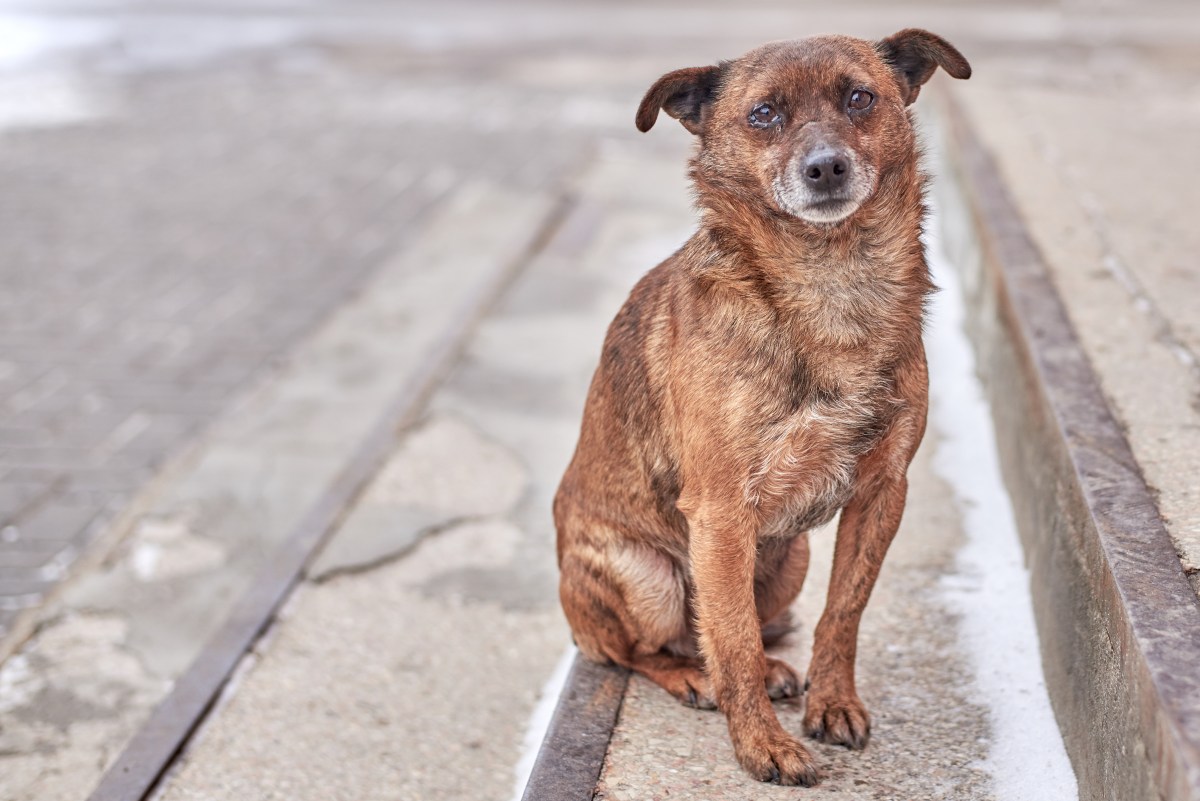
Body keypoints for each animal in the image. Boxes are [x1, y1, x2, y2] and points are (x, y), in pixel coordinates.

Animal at [552, 29, 964, 781]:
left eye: (860, 98)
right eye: (763, 114)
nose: (825, 167)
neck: (830, 281)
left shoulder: (882, 493)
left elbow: (841, 613)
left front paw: (832, 702)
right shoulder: (720, 514)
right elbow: (734, 641)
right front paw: (762, 744)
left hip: (789, 557)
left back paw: (772, 669)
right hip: (651, 577)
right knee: (645, 649)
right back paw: (693, 677)